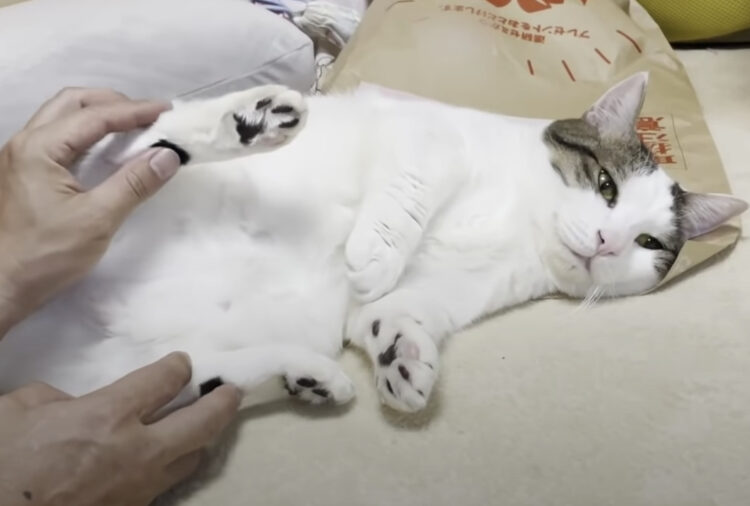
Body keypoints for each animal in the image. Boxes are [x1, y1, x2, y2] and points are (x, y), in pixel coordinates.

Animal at [0, 73, 746, 414]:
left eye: (647, 242)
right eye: (605, 186)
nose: (604, 239)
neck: (522, 219)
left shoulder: (448, 294)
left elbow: (393, 313)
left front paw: (400, 358)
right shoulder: (429, 132)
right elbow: (416, 184)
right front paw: (376, 253)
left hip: (112, 377)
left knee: (187, 373)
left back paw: (307, 376)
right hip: (103, 183)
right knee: (149, 148)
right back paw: (253, 118)